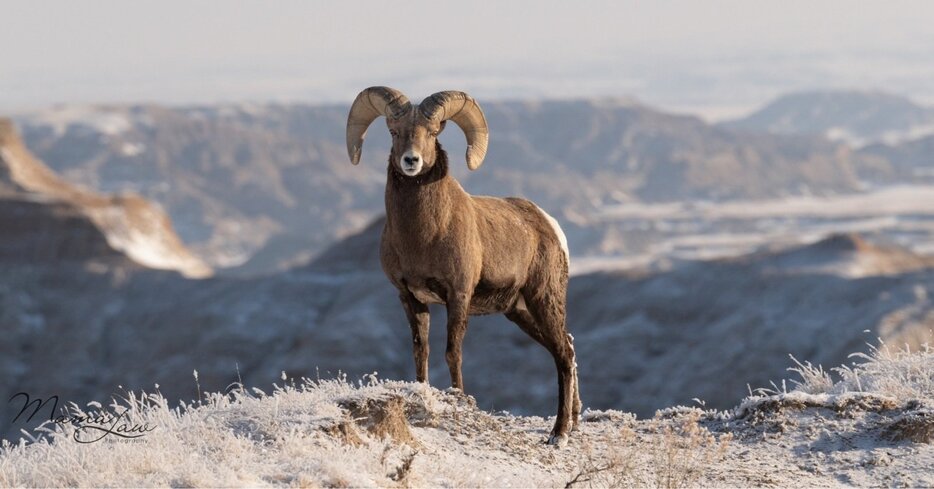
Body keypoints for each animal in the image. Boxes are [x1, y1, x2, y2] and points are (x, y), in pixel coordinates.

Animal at [348, 86, 580, 444]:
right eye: (394, 132)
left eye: (432, 132)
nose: (411, 161)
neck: (422, 237)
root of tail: (549, 225)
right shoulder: (410, 297)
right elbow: (421, 350)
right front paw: (423, 392)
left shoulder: (458, 296)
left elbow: (452, 351)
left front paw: (458, 397)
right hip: (520, 312)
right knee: (567, 345)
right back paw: (577, 422)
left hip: (544, 299)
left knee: (564, 356)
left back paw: (559, 434)